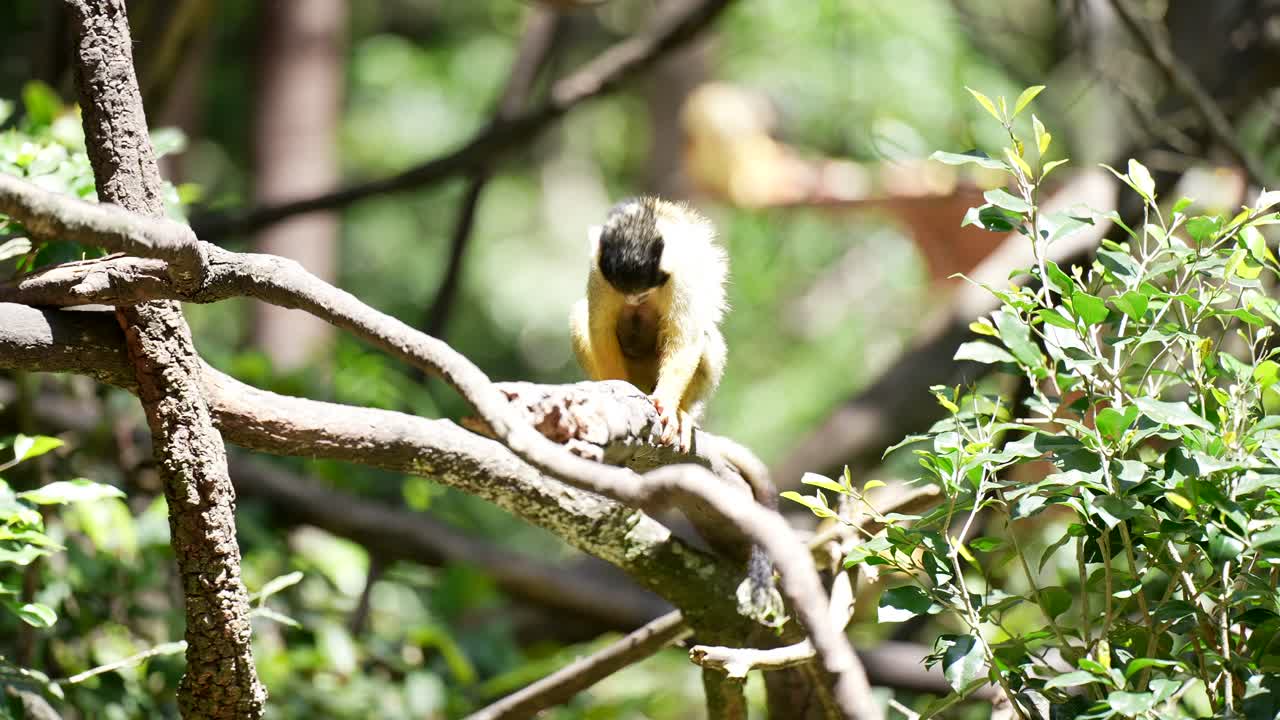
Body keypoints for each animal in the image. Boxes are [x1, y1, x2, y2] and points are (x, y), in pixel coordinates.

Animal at [569, 196, 728, 452]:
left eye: (643, 293)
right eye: (627, 293)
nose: (633, 300)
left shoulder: (680, 274)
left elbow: (684, 338)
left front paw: (669, 406)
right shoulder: (599, 273)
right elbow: (599, 330)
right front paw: (618, 388)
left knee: (705, 338)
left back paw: (682, 411)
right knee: (579, 318)